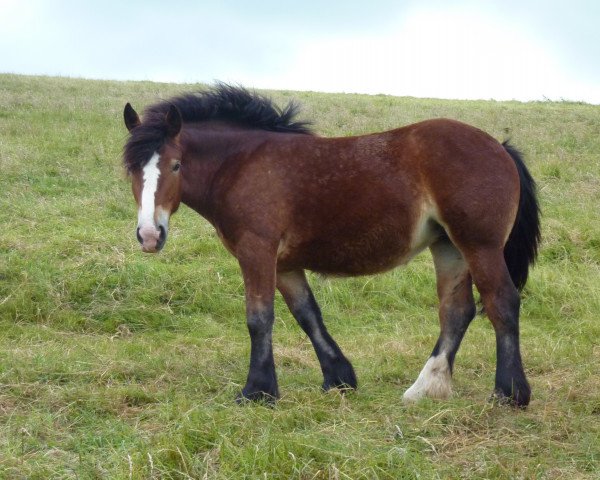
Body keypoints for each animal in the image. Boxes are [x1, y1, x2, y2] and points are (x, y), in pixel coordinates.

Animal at [120, 84, 540, 406]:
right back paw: (425, 388)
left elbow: (259, 318)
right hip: (449, 247)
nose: (150, 235)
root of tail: (499, 146)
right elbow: (307, 314)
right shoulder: (285, 263)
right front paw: (338, 378)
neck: (241, 165)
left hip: (479, 245)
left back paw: (509, 393)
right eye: (132, 169)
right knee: (457, 311)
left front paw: (257, 391)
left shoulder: (257, 250)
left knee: (501, 302)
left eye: (176, 165)